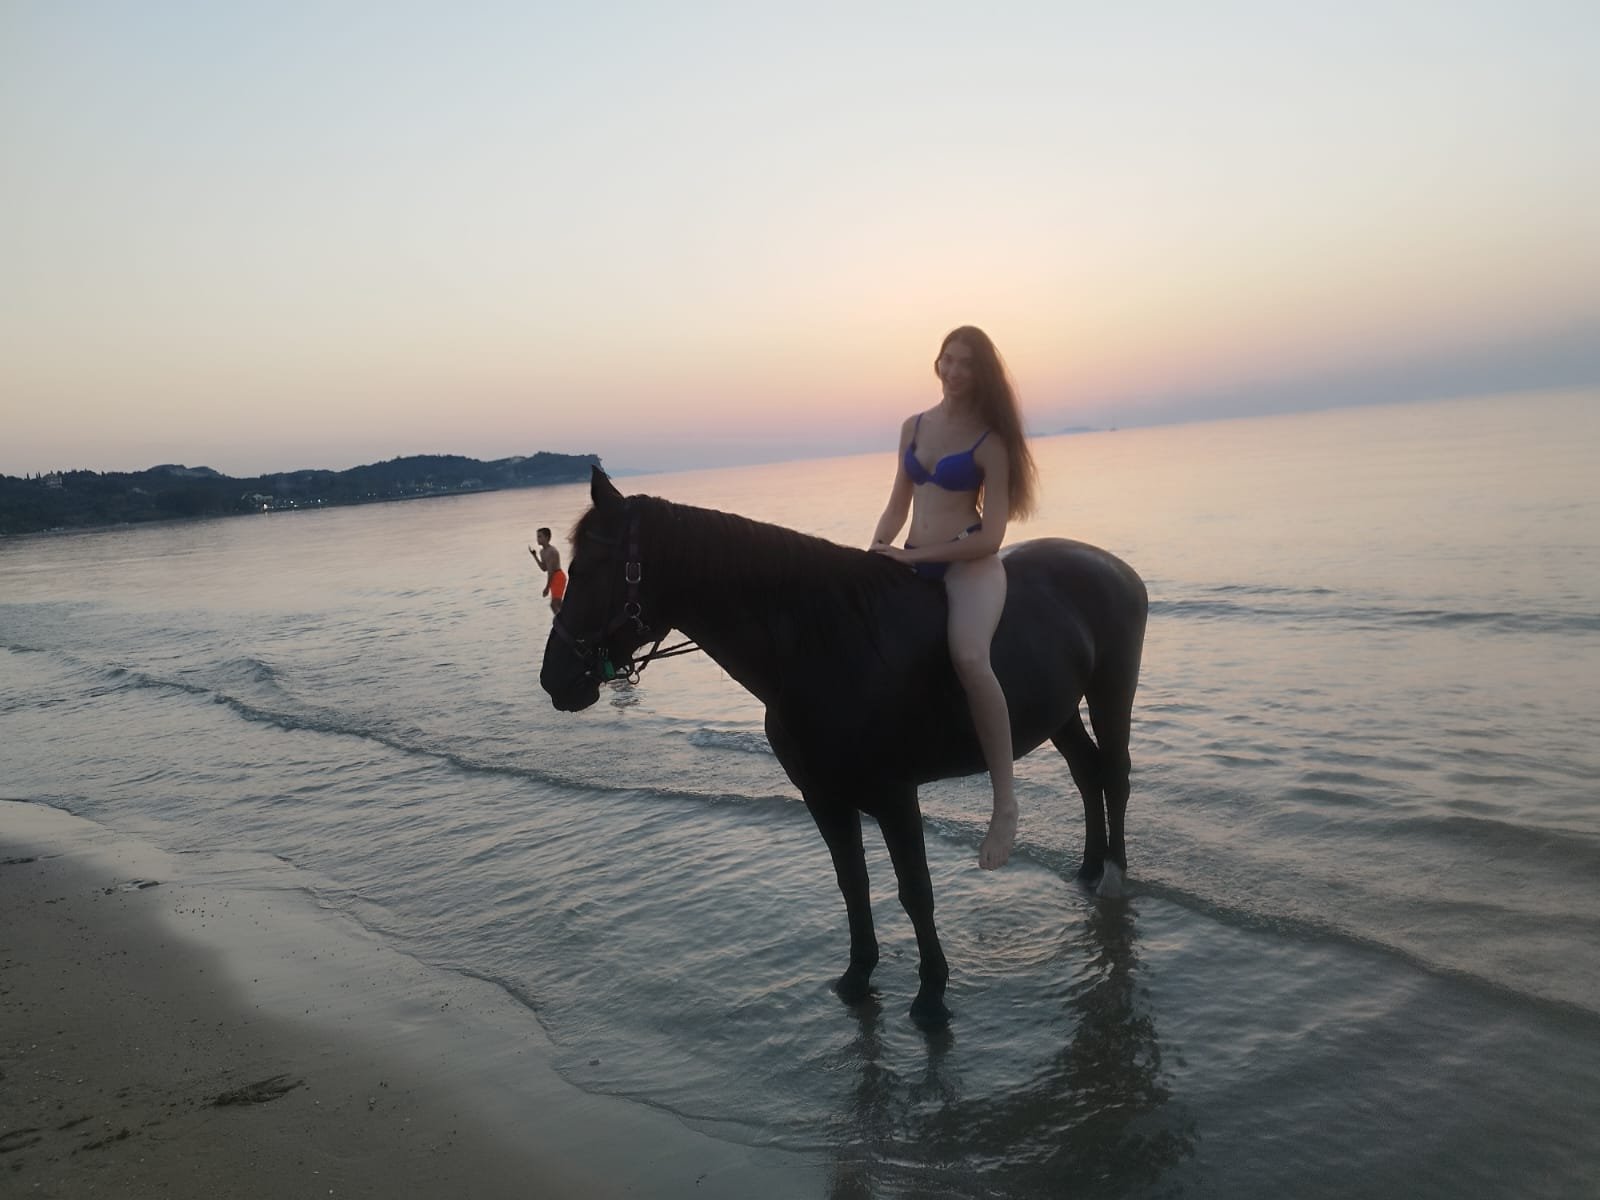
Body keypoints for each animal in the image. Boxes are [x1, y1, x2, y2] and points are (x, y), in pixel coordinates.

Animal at [541, 467, 1149, 1029]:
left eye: (590, 570)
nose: (554, 678)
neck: (824, 644)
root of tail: (1113, 567)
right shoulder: (824, 797)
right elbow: (852, 883)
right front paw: (858, 974)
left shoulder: (896, 797)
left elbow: (915, 891)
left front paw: (931, 996)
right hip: (1058, 710)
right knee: (1086, 772)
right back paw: (1088, 867)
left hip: (1111, 690)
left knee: (1114, 775)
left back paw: (1112, 874)